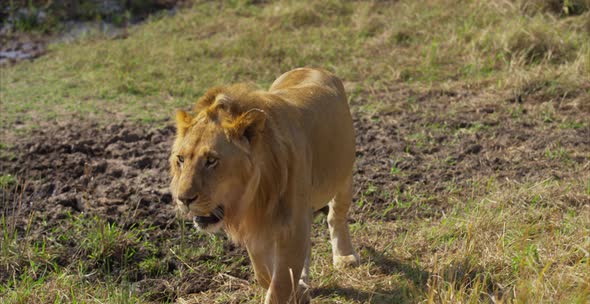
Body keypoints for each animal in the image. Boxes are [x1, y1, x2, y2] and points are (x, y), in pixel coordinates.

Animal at [169, 67, 358, 302]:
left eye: (211, 160)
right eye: (181, 159)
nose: (183, 199)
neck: (255, 194)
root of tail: (312, 68)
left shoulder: (292, 226)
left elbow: (280, 283)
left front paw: (293, 290)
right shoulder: (256, 227)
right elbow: (265, 274)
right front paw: (299, 290)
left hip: (344, 176)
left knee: (336, 215)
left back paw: (345, 257)